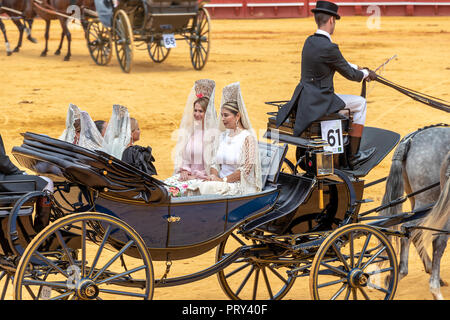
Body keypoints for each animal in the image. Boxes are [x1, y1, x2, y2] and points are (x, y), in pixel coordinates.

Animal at [380, 124, 450, 298]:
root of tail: (410, 139)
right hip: (428, 199)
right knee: (411, 230)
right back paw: (403, 272)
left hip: (418, 199)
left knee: (414, 231)